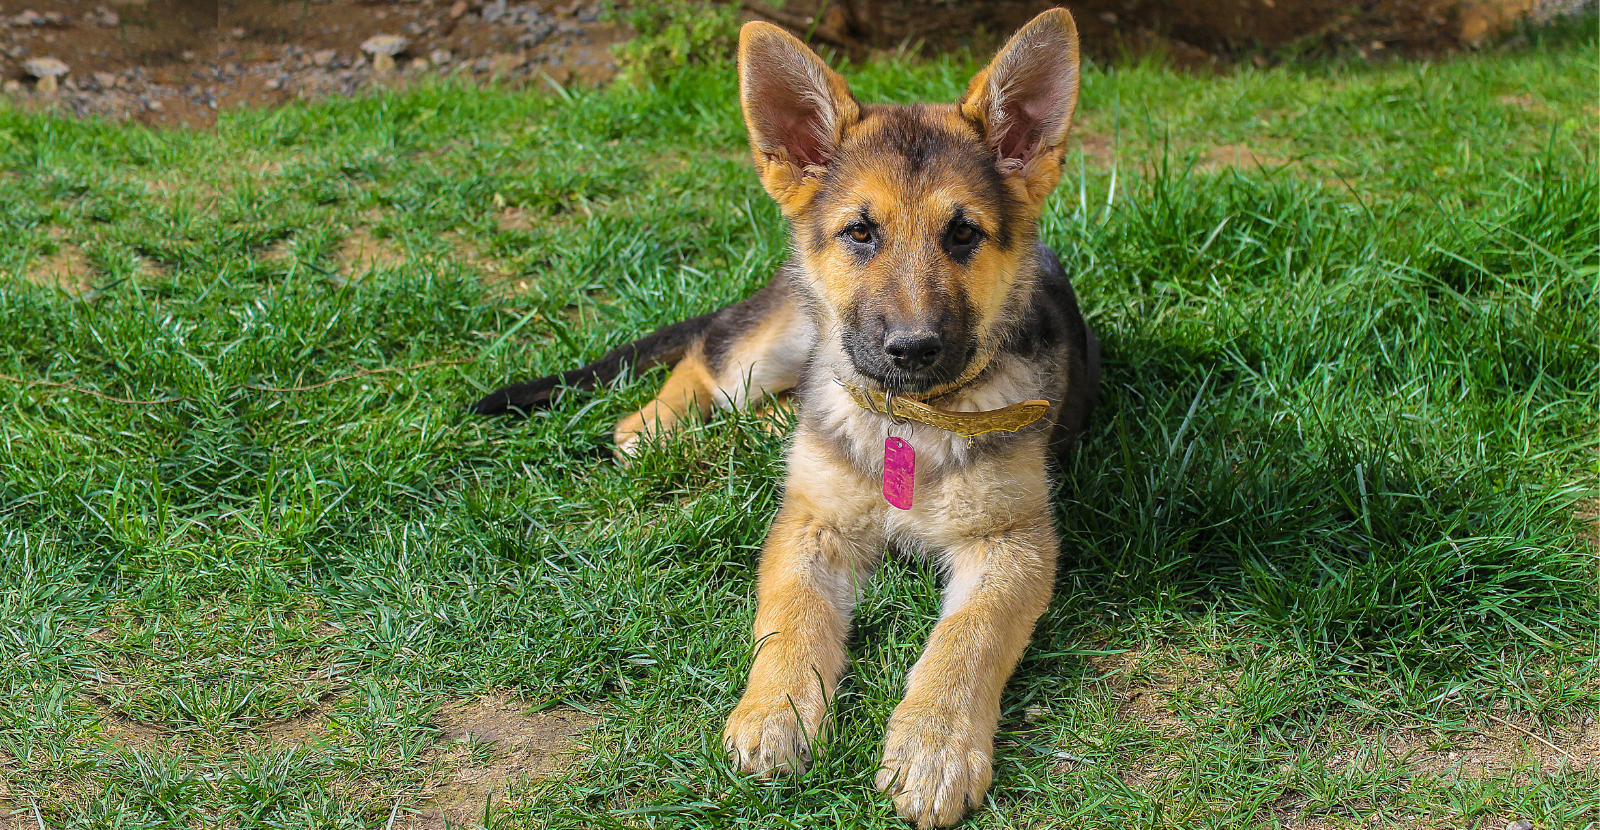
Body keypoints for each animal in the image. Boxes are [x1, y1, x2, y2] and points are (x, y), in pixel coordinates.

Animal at [473, 9, 1100, 825]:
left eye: (963, 234)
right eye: (860, 232)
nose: (911, 350)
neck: (905, 419)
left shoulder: (1012, 542)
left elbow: (968, 640)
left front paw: (934, 745)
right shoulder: (809, 524)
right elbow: (791, 617)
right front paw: (776, 711)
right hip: (779, 340)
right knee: (707, 356)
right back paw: (653, 424)